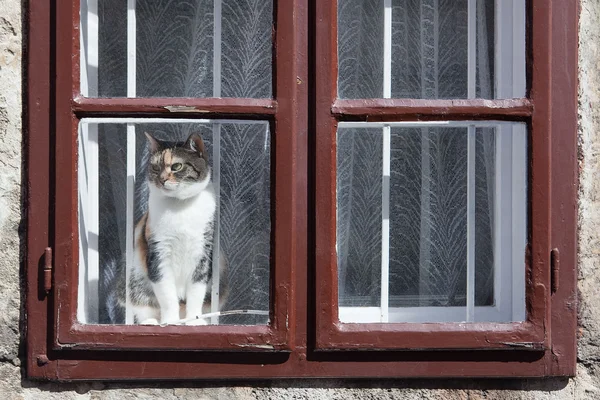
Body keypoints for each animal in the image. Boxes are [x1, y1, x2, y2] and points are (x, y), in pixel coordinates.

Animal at [105, 131, 227, 324]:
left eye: (176, 166)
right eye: (155, 167)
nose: (161, 179)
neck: (180, 206)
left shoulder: (203, 253)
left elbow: (196, 292)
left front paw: (193, 320)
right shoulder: (158, 253)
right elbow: (167, 295)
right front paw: (170, 321)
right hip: (133, 281)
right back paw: (151, 322)